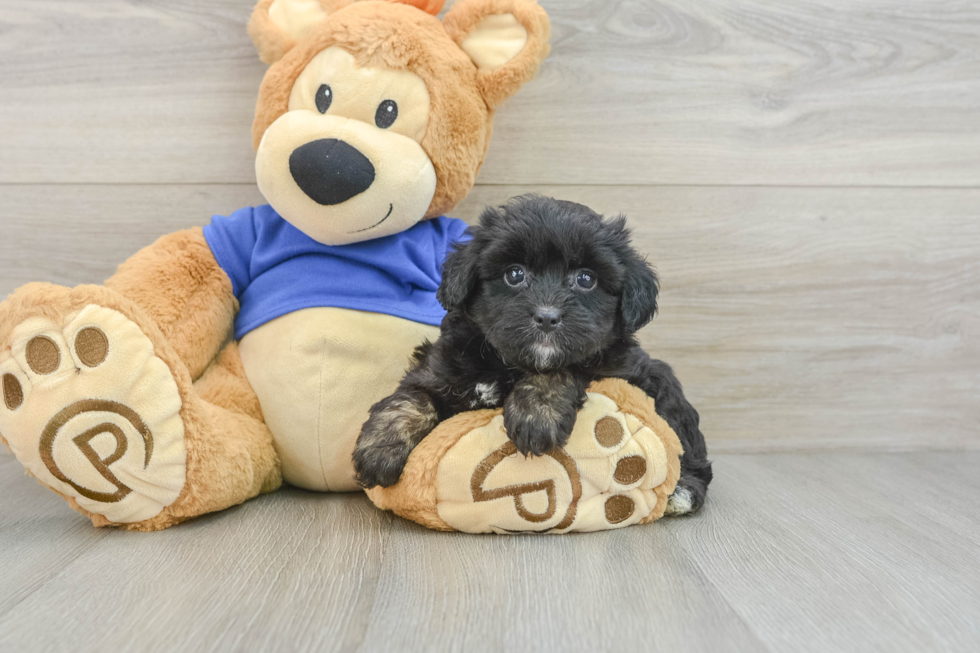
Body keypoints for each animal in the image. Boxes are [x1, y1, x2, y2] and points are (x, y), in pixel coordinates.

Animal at [352, 194, 712, 516]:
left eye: (586, 279)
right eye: (514, 274)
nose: (547, 317)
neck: (506, 363)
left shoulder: (616, 367)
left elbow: (566, 367)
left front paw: (536, 414)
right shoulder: (441, 367)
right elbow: (412, 396)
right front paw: (378, 448)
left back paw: (683, 492)